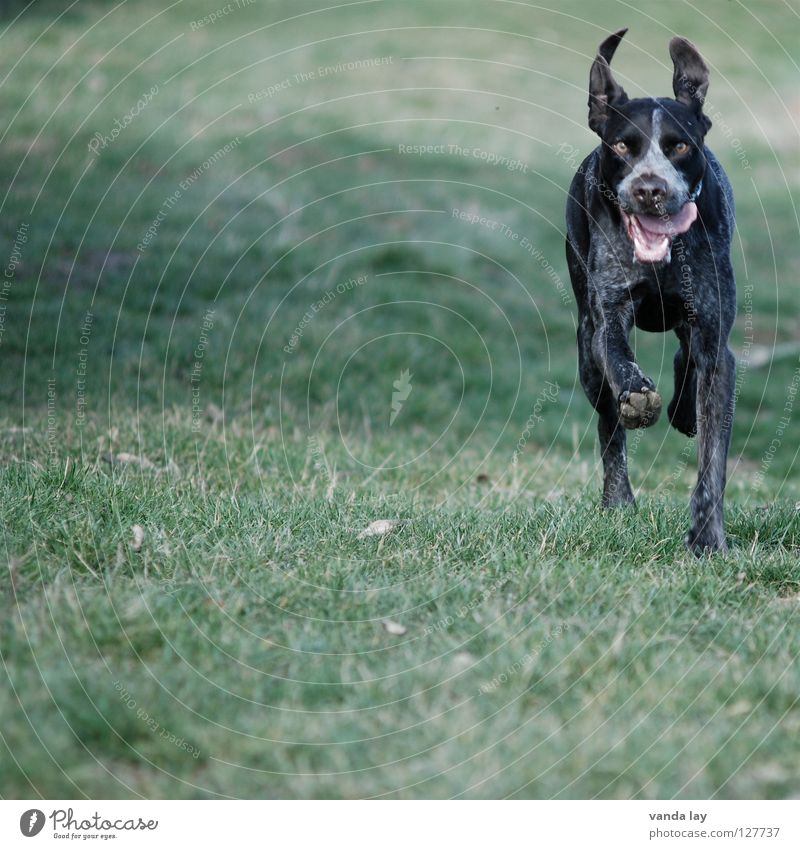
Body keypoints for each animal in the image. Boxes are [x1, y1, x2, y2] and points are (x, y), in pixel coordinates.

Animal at [564, 29, 736, 552]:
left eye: (679, 147)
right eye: (623, 146)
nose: (649, 189)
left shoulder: (714, 337)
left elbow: (712, 460)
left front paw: (707, 539)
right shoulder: (608, 312)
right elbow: (619, 354)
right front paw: (638, 393)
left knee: (685, 357)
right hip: (586, 358)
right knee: (609, 429)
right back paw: (617, 501)